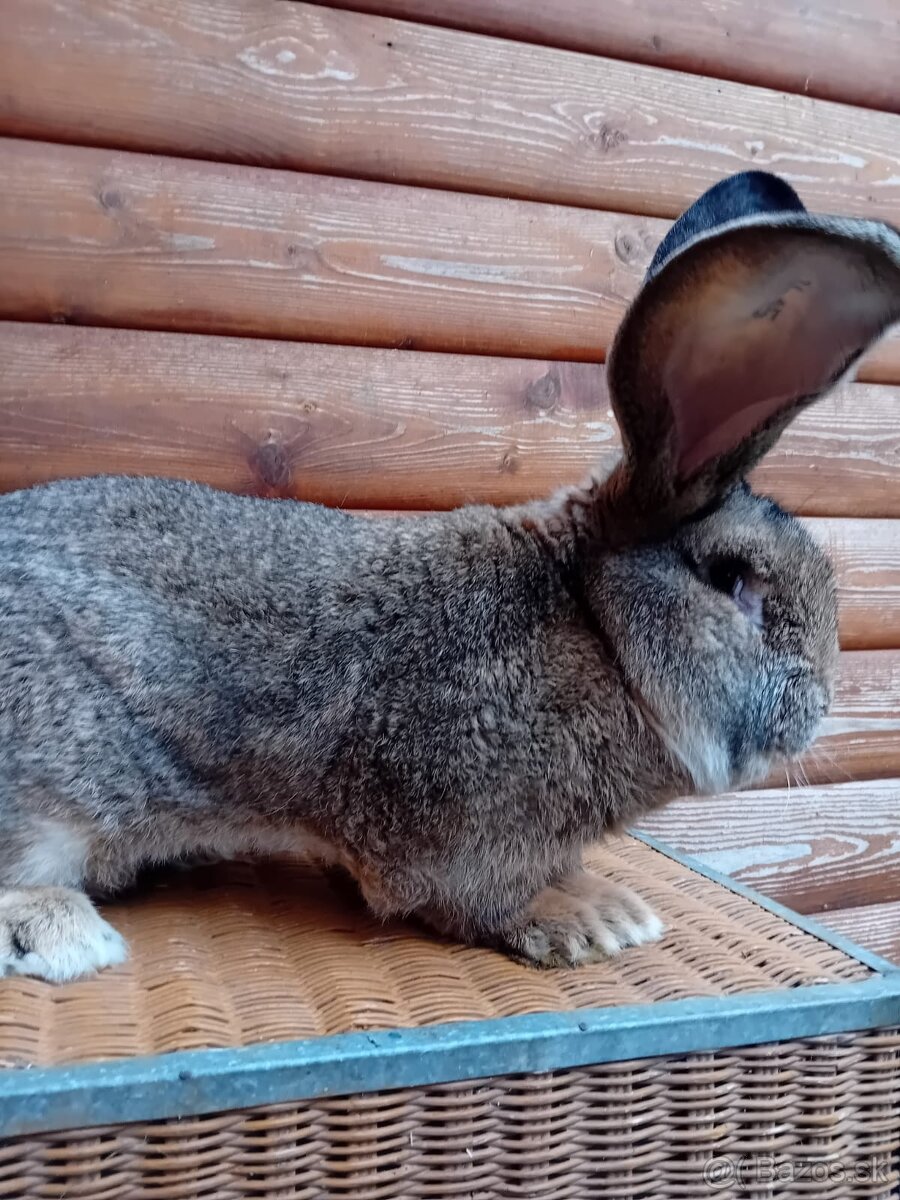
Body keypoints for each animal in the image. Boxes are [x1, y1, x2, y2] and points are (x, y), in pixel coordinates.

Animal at [1, 169, 900, 979]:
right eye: (732, 578)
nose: (820, 708)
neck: (595, 629)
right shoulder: (467, 834)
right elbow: (480, 901)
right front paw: (594, 924)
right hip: (52, 791)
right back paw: (64, 935)